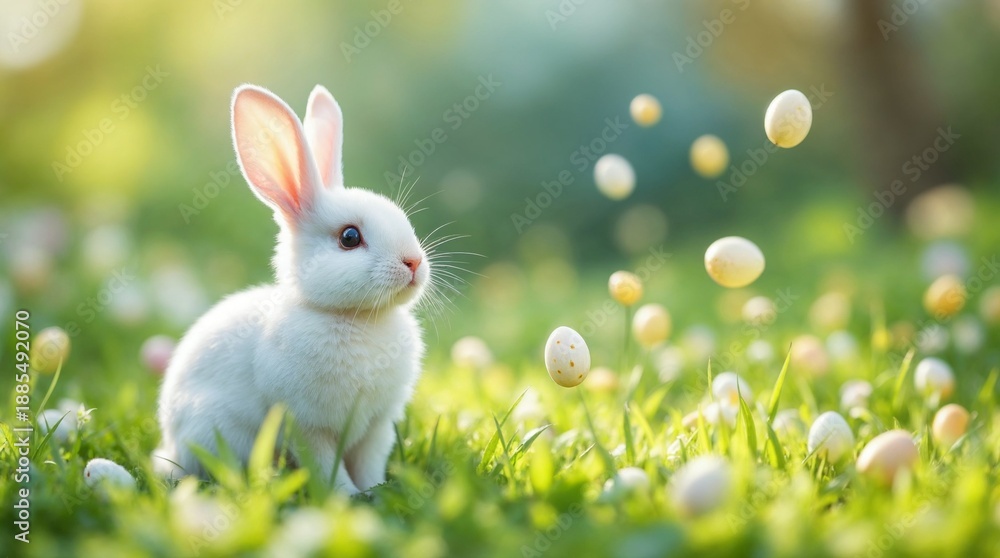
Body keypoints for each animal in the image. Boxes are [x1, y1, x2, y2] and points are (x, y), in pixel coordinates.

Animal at [153, 84, 429, 494]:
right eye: (350, 237)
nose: (414, 263)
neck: (356, 318)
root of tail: (169, 445)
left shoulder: (376, 428)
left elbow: (369, 464)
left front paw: (373, 490)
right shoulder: (308, 427)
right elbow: (329, 467)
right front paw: (348, 497)